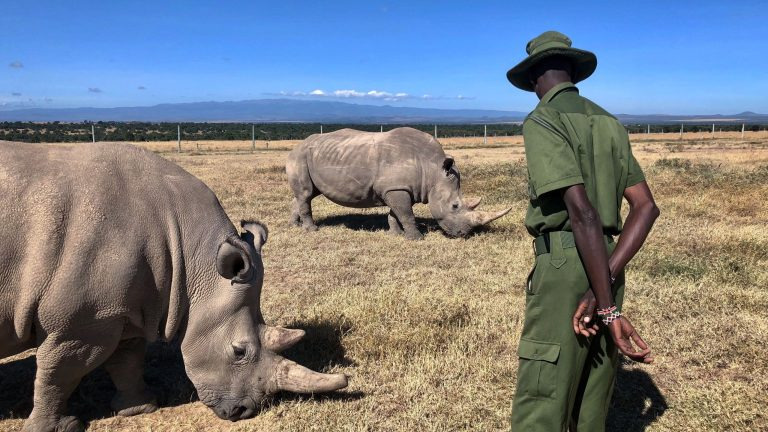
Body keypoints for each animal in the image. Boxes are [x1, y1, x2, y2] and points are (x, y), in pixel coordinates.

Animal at [0, 142, 347, 432]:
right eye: (239, 351)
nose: (243, 412)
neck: (192, 255)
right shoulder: (79, 324)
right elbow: (59, 373)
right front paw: (55, 428)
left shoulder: (120, 308)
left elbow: (127, 359)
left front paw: (141, 408)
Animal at [286, 127, 512, 240]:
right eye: (455, 206)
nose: (462, 235)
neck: (432, 170)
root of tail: (296, 146)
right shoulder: (397, 188)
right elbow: (406, 214)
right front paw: (416, 238)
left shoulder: (400, 188)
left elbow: (396, 213)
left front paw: (396, 234)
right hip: (300, 156)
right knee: (305, 194)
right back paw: (312, 230)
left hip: (313, 157)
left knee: (306, 194)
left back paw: (295, 226)